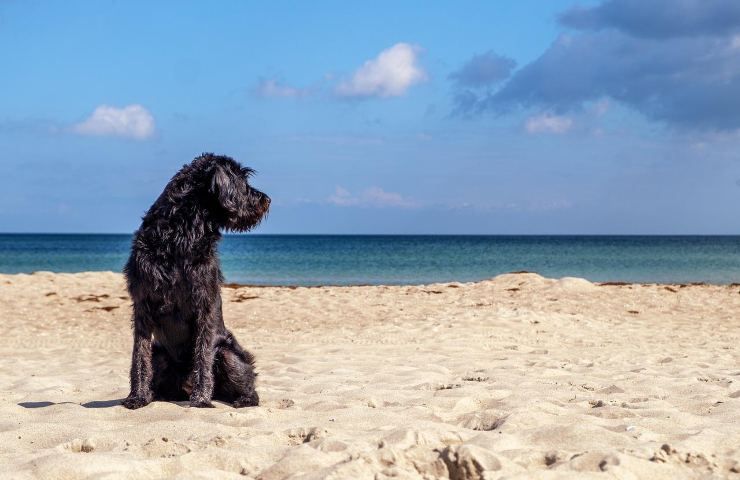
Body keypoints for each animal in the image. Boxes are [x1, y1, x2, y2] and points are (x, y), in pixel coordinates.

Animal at [123, 155, 270, 408]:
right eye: (242, 181)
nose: (267, 200)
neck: (181, 234)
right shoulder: (142, 305)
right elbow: (139, 356)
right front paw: (137, 397)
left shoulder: (204, 304)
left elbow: (203, 354)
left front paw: (201, 399)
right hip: (160, 354)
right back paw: (154, 394)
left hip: (227, 353)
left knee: (250, 388)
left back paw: (240, 399)